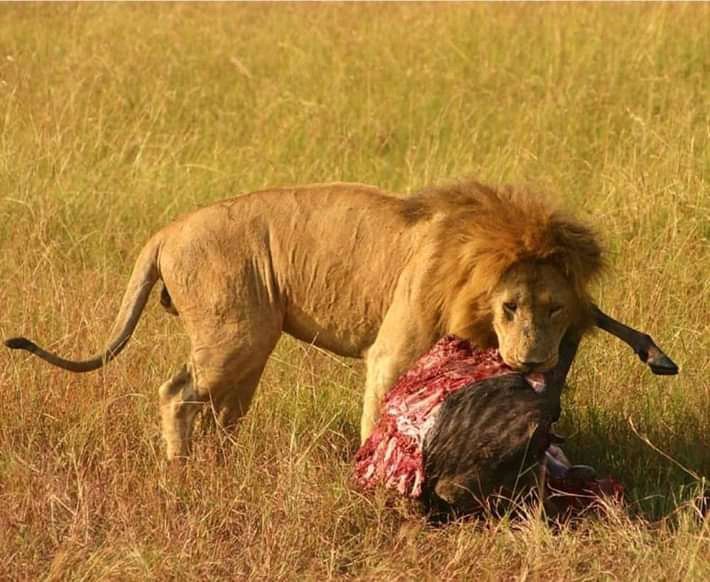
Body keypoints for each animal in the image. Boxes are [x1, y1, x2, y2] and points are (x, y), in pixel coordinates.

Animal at [5, 179, 603, 460]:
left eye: (554, 308)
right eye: (510, 307)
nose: (533, 360)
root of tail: (167, 230)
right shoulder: (394, 348)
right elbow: (379, 411)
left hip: (251, 341)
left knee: (222, 410)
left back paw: (221, 467)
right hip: (233, 334)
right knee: (177, 393)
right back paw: (179, 472)